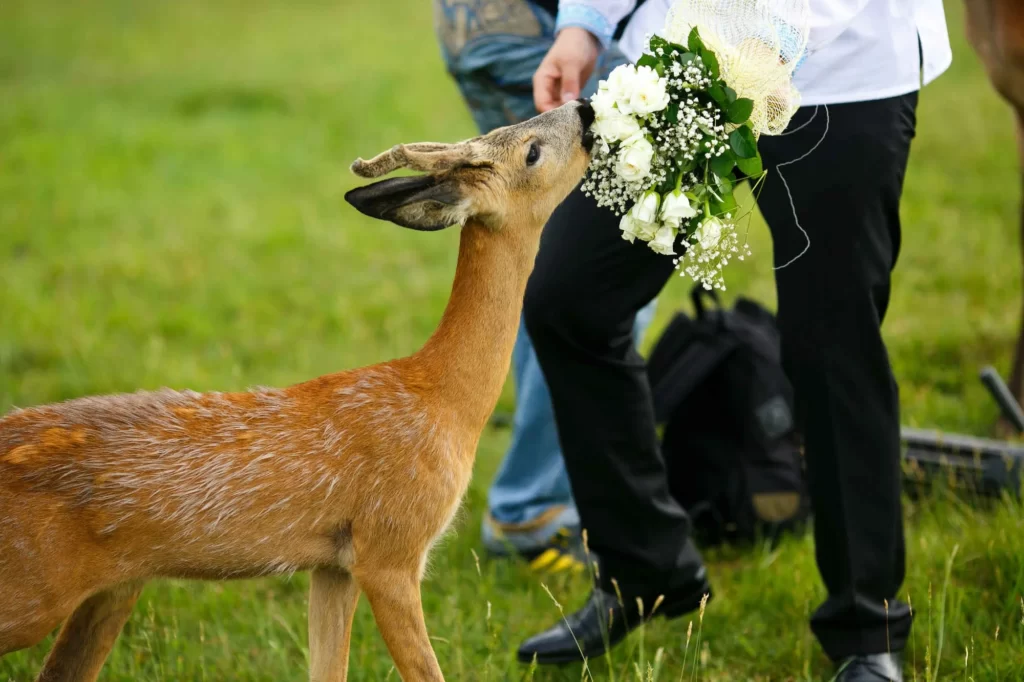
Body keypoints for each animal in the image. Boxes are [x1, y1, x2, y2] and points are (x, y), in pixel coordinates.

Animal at [0, 98, 598, 675]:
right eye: (532, 151)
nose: (586, 107)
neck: (442, 400)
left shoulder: (332, 564)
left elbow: (328, 667)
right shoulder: (390, 546)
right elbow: (426, 671)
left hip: (112, 591)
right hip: (34, 593)